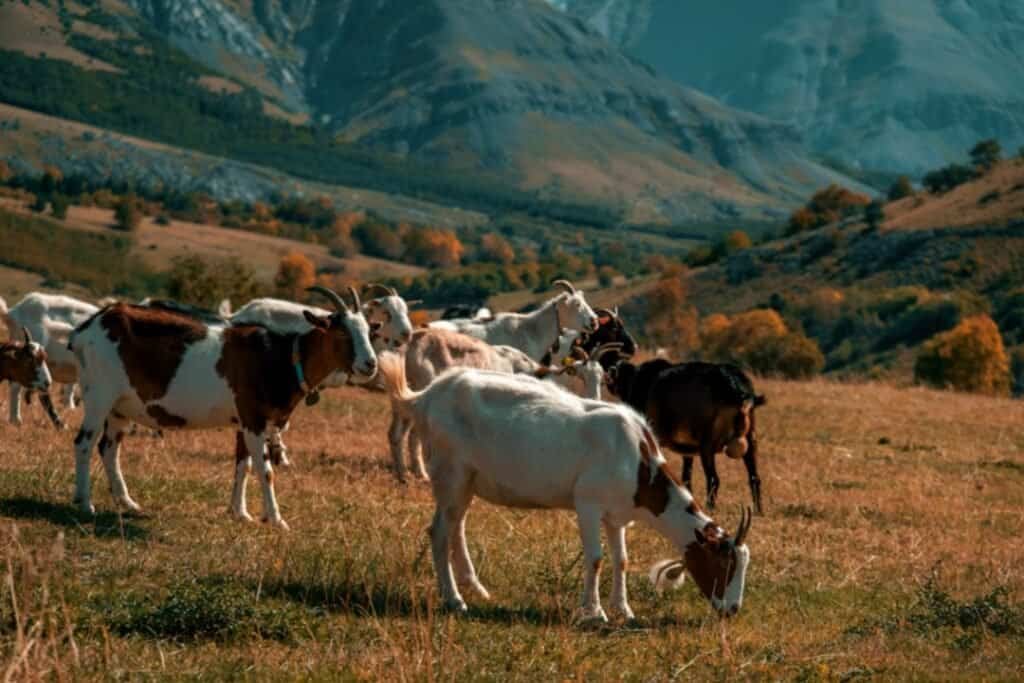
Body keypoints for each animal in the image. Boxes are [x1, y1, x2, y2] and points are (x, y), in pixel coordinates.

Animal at [68, 286, 377, 528]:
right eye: (341, 333)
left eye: (368, 331)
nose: (370, 364)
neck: (281, 358)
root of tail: (87, 329)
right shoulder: (254, 419)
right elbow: (265, 470)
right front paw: (277, 520)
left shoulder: (244, 422)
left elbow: (243, 465)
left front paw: (240, 513)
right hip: (99, 393)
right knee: (84, 442)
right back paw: (84, 503)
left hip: (120, 406)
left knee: (109, 448)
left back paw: (127, 501)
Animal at [607, 359, 766, 514]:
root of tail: (738, 390)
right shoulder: (687, 448)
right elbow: (686, 477)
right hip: (751, 438)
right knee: (754, 477)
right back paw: (758, 511)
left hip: (707, 443)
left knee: (713, 479)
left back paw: (710, 509)